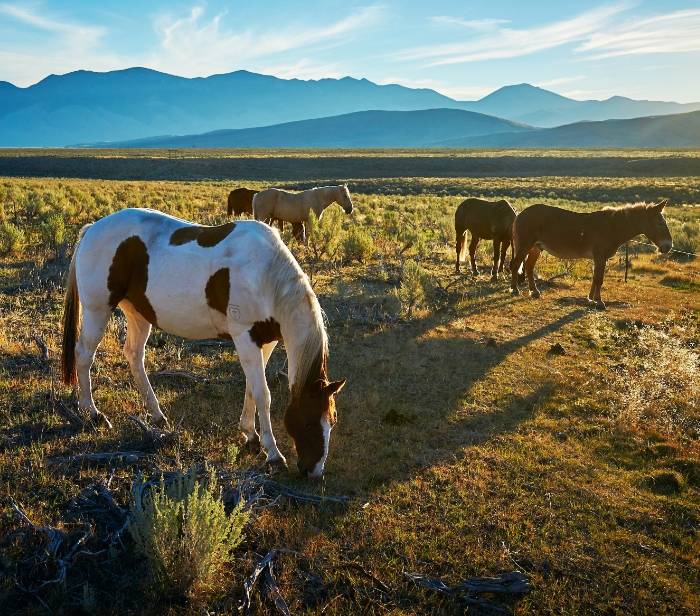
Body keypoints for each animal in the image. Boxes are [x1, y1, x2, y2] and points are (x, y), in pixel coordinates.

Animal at [61, 209, 346, 478]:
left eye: (332, 420)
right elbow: (263, 394)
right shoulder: (245, 336)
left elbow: (252, 388)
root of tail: (91, 229)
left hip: (138, 313)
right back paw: (92, 413)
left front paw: (250, 435)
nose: (314, 472)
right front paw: (273, 453)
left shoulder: (265, 342)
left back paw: (156, 414)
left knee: (134, 355)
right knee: (84, 355)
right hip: (98, 310)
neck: (265, 275)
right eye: (309, 422)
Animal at [508, 201, 672, 308]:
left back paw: (534, 292)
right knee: (515, 265)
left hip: (536, 248)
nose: (668, 247)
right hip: (525, 245)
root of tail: (520, 214)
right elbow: (599, 279)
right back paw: (515, 290)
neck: (612, 226)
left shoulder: (598, 258)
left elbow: (595, 278)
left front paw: (590, 299)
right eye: (660, 223)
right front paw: (599, 302)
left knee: (529, 267)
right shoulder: (600, 257)